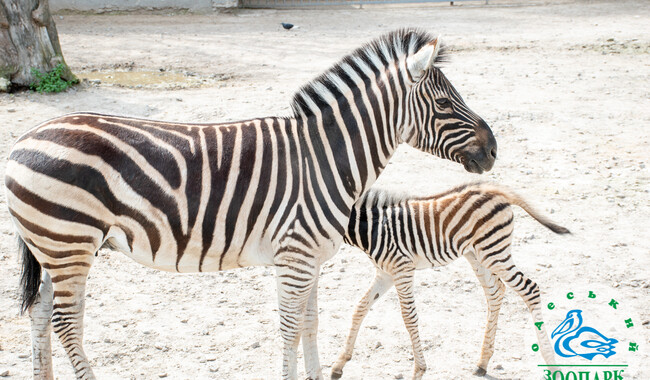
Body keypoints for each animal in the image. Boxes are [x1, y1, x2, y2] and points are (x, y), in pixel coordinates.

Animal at [6, 29, 496, 380]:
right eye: (444, 102)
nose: (494, 150)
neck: (323, 157)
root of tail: (23, 140)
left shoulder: (310, 258)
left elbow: (310, 325)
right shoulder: (295, 256)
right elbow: (288, 331)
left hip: (55, 248)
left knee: (41, 314)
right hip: (71, 243)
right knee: (66, 323)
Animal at [332, 183, 564, 378]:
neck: (374, 229)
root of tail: (495, 190)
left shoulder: (402, 269)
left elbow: (408, 317)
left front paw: (419, 370)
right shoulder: (386, 273)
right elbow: (360, 308)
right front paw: (339, 364)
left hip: (494, 251)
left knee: (530, 289)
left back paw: (552, 364)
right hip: (478, 254)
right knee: (495, 291)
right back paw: (483, 362)